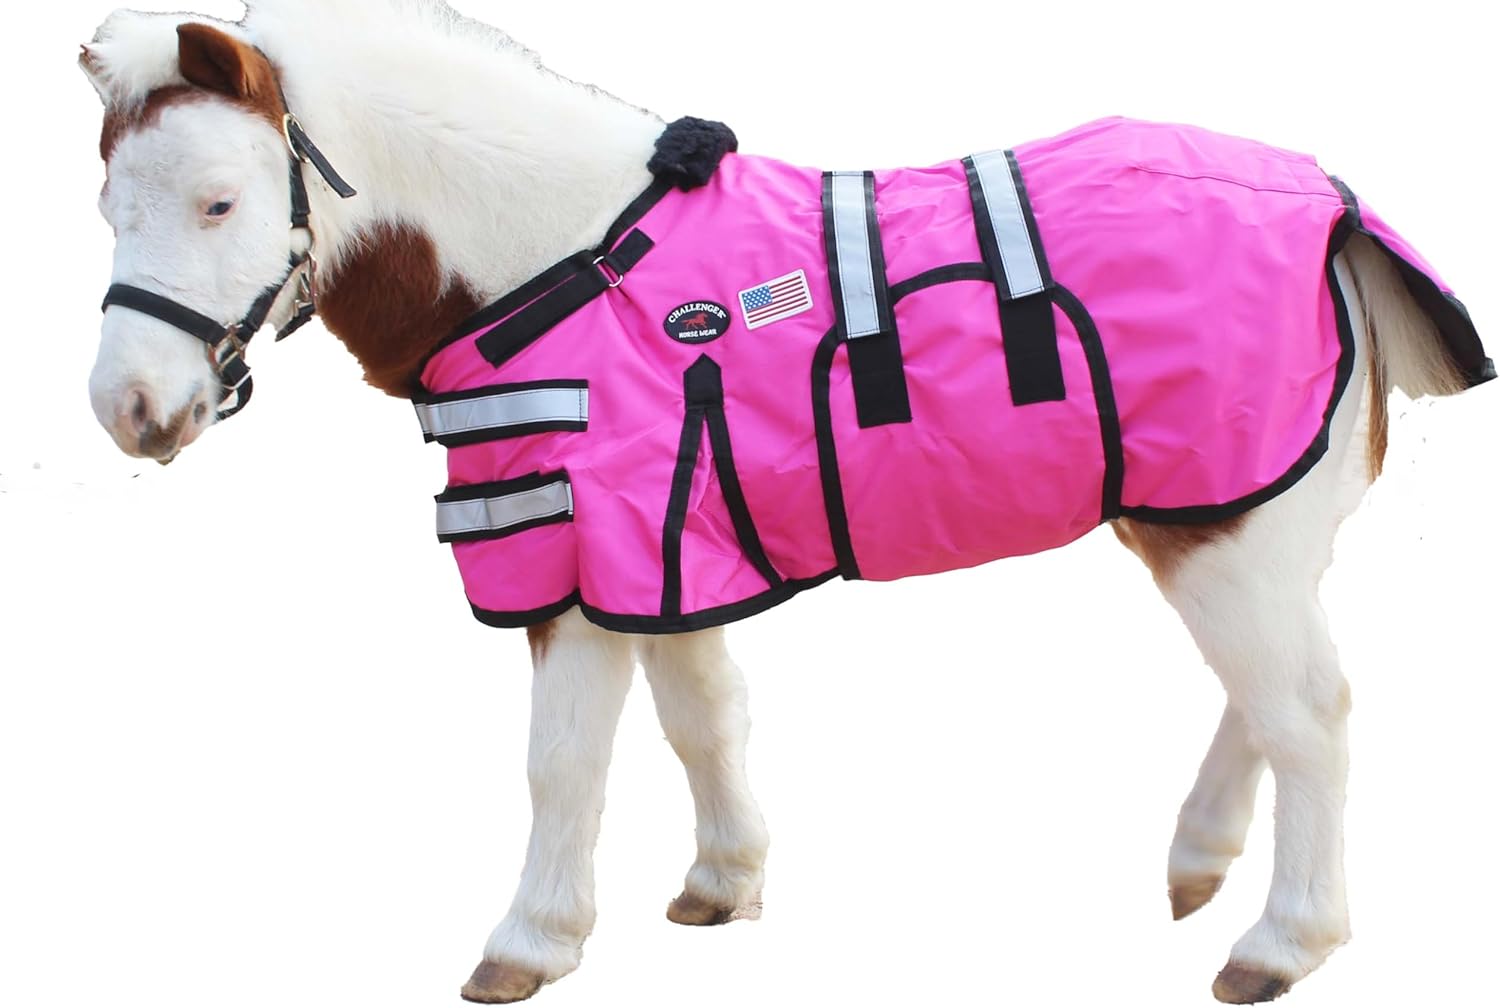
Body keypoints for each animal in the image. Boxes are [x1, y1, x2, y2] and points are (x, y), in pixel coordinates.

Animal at [77, 2, 1493, 1004]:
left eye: (219, 200)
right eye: (105, 201)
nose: (127, 409)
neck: (563, 265)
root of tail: (1336, 207)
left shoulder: (584, 552)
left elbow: (563, 760)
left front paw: (531, 940)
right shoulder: (673, 555)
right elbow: (704, 719)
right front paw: (724, 881)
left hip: (1230, 528)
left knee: (1310, 713)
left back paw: (1284, 941)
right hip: (1229, 521)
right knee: (1272, 697)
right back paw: (1199, 860)